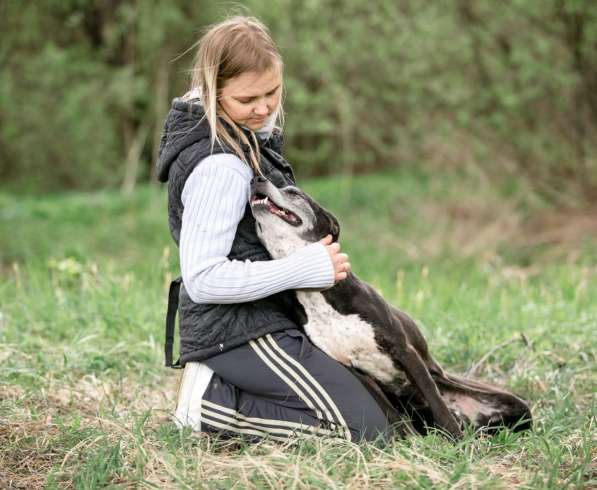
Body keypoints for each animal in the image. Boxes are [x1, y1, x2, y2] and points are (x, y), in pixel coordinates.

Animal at [248, 176, 532, 440]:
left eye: (293, 192)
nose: (256, 178)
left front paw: (457, 442)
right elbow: (391, 415)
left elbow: (436, 400)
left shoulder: (404, 350)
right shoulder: (357, 373)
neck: (320, 293)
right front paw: (411, 443)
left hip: (514, 404)